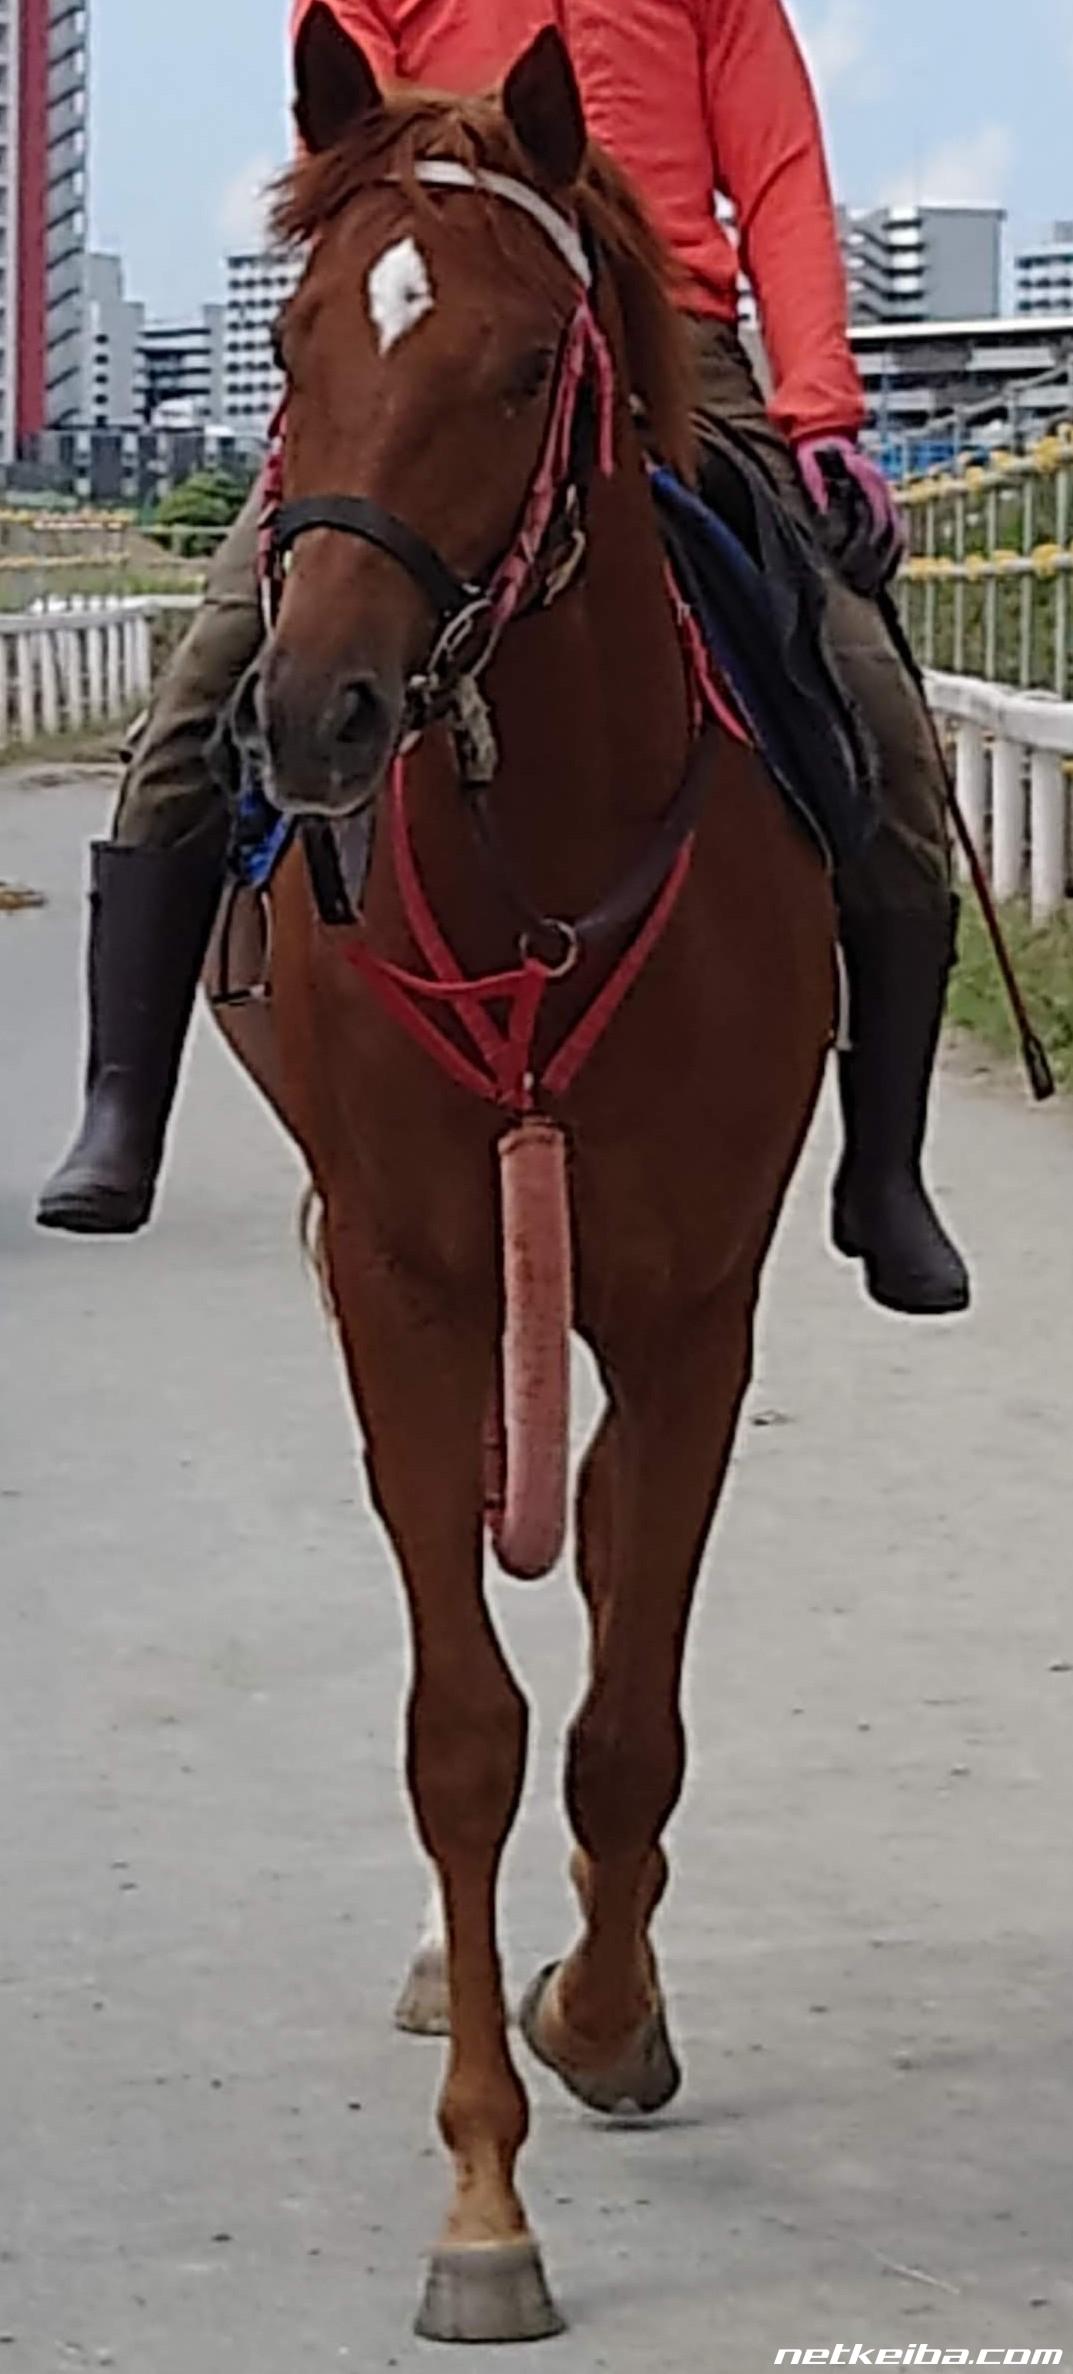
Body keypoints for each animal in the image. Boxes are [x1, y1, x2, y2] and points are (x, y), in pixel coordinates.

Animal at [214, 9, 836, 2344]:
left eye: (506, 367)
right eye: (286, 338)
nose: (314, 713)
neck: (529, 852)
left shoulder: (693, 1303)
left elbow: (621, 1725)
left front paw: (600, 2011)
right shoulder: (404, 1284)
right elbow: (463, 1730)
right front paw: (480, 2197)